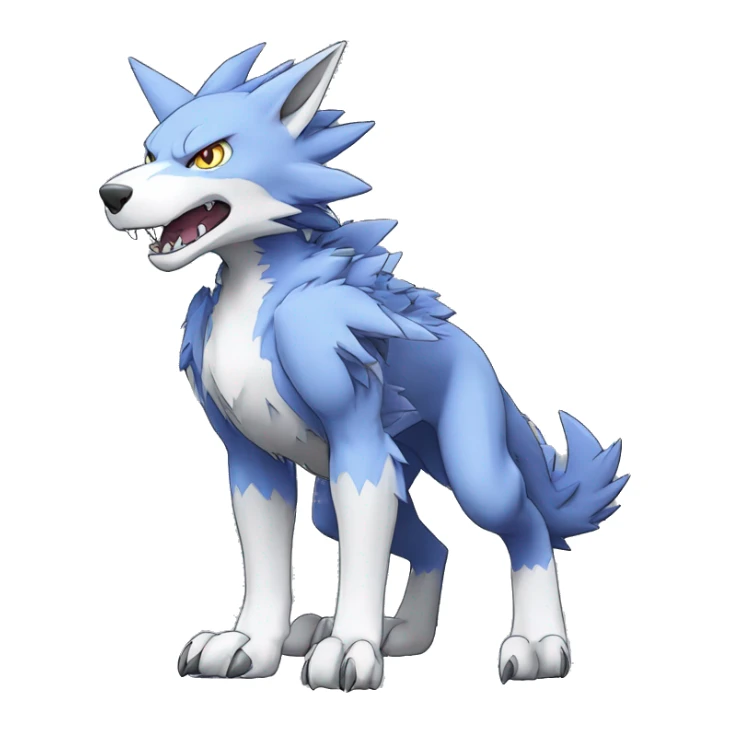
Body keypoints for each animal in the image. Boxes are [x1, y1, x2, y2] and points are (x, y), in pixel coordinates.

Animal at [101, 41, 629, 691]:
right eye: (149, 153)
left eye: (209, 156)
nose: (110, 195)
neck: (253, 299)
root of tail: (476, 351)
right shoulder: (251, 458)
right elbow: (266, 561)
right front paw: (251, 644)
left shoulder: (358, 436)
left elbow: (362, 559)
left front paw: (351, 648)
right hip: (357, 488)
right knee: (432, 546)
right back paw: (397, 634)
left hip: (469, 464)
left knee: (523, 521)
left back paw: (536, 644)